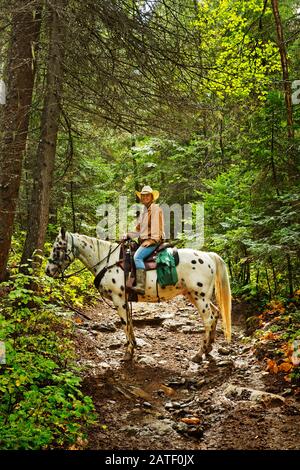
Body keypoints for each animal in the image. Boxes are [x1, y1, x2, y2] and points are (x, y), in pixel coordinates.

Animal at [45, 228, 231, 364]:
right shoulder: (125, 300)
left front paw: (128, 353)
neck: (107, 261)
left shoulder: (119, 299)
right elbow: (130, 322)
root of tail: (208, 255)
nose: (47, 271)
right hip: (196, 296)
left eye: (58, 248)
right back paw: (209, 349)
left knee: (208, 320)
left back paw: (199, 354)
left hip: (200, 297)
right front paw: (133, 346)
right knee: (216, 314)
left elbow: (125, 323)